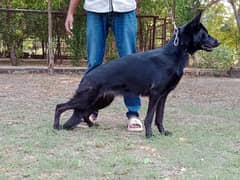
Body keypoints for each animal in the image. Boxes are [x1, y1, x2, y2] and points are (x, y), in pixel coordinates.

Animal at [54, 11, 219, 138]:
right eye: (205, 34)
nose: (218, 42)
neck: (173, 54)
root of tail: (87, 76)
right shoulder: (155, 94)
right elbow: (149, 117)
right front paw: (149, 134)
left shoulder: (163, 96)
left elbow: (159, 117)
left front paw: (163, 132)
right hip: (87, 99)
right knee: (60, 106)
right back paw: (56, 126)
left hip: (101, 100)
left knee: (84, 113)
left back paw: (89, 125)